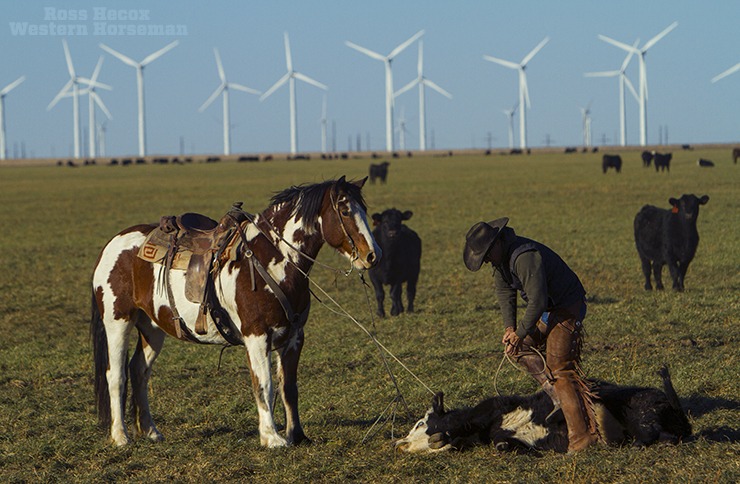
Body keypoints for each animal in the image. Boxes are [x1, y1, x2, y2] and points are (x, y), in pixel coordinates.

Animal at [91, 177, 381, 448]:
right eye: (344, 210)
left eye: (364, 209)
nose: (372, 256)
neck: (270, 259)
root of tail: (112, 244)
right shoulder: (257, 335)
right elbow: (264, 384)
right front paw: (272, 437)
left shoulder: (294, 337)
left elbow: (288, 387)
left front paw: (296, 435)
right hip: (117, 322)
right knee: (116, 375)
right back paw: (120, 436)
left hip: (153, 327)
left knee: (139, 371)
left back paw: (151, 431)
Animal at [395, 366, 691, 454]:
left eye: (421, 423)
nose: (400, 443)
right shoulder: (506, 437)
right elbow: (503, 445)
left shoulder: (490, 408)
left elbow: (466, 422)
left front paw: (439, 438)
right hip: (649, 426)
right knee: (663, 437)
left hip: (642, 413)